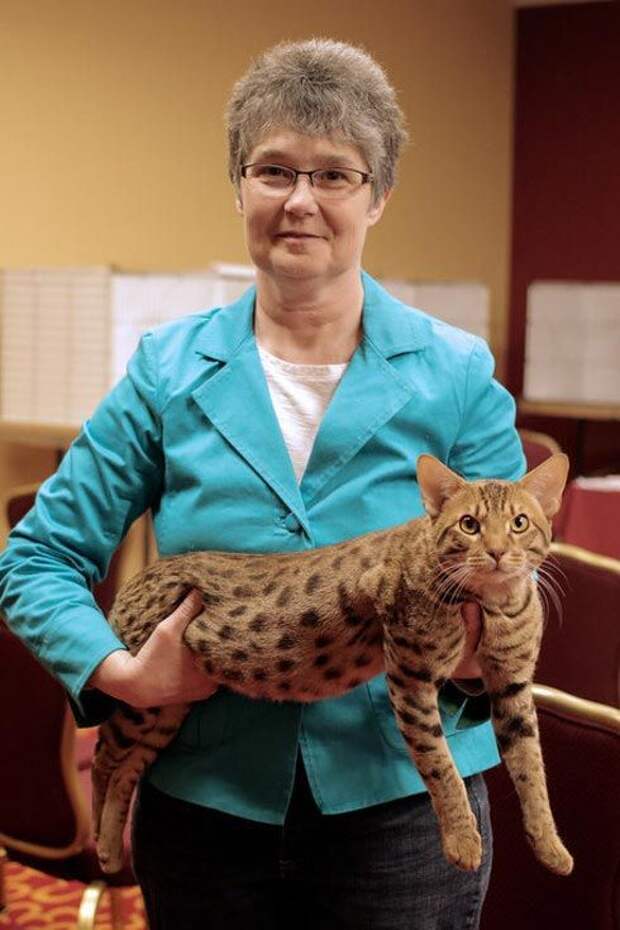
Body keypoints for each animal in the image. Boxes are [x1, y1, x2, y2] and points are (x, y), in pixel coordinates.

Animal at [91, 454, 572, 872]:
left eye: (519, 523)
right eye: (469, 525)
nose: (496, 552)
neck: (495, 603)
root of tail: (135, 578)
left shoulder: (512, 687)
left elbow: (533, 769)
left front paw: (550, 845)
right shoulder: (410, 678)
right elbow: (440, 765)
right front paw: (461, 839)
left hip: (170, 706)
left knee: (129, 768)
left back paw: (112, 846)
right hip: (143, 693)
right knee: (103, 757)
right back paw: (99, 838)